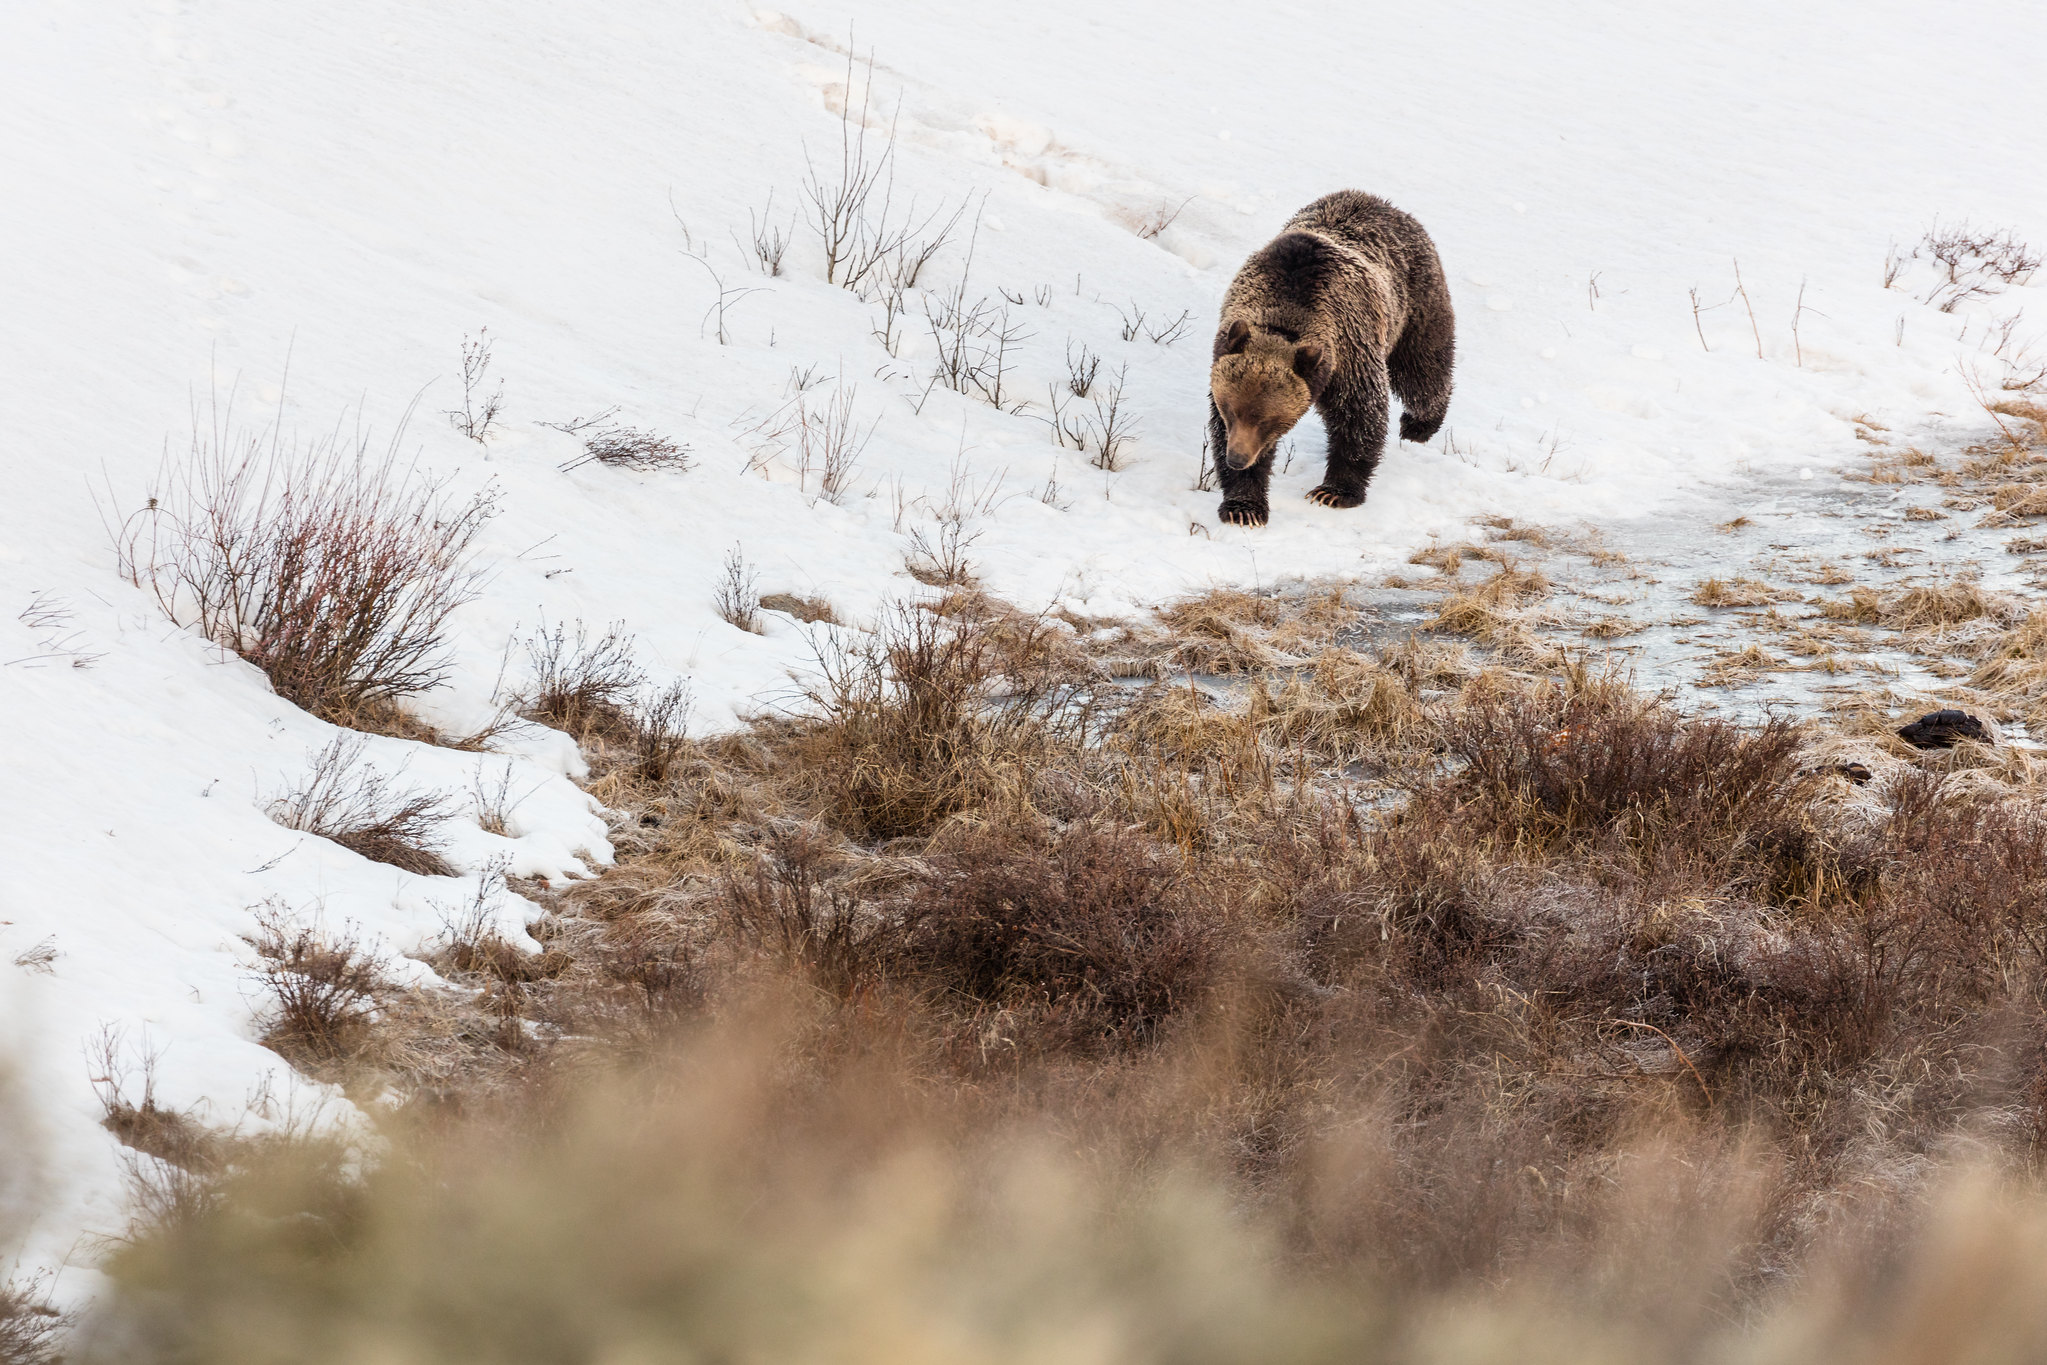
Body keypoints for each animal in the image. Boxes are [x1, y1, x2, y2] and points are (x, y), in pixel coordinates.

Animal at [1203, 192, 1449, 527]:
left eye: (1267, 420)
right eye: (1230, 410)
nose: (1238, 458)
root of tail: (1385, 204)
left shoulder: (1349, 350)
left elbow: (1359, 416)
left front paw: (1334, 492)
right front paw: (1244, 507)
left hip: (1415, 304)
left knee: (1422, 369)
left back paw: (1419, 425)